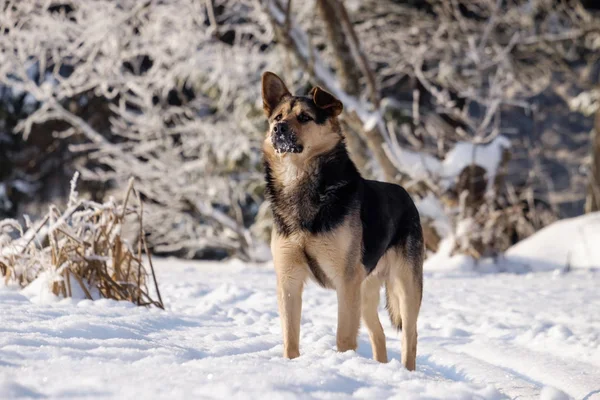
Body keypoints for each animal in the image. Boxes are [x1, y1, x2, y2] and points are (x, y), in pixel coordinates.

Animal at [260, 72, 424, 372]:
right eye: (278, 117)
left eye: (304, 118)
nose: (277, 129)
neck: (300, 182)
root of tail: (406, 194)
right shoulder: (288, 279)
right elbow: (290, 335)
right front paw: (290, 364)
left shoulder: (345, 282)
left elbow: (344, 337)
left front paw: (343, 363)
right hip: (366, 291)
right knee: (379, 333)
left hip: (405, 285)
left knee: (410, 334)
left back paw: (407, 373)